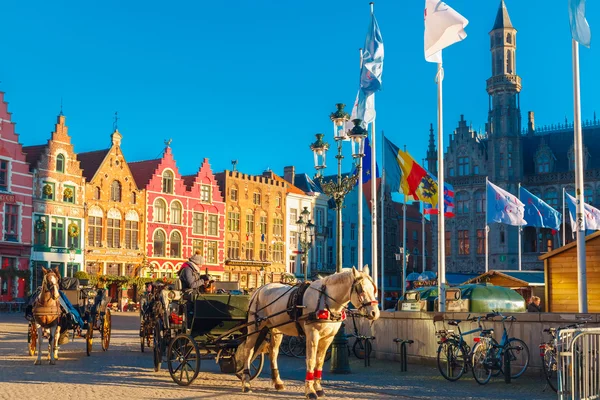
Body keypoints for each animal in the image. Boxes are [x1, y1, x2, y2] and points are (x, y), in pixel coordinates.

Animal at [239, 268, 380, 398]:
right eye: (361, 289)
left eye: (374, 289)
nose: (375, 313)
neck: (326, 301)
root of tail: (260, 289)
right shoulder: (312, 335)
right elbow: (311, 361)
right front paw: (310, 391)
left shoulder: (328, 338)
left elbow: (320, 362)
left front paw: (318, 388)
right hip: (254, 328)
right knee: (248, 350)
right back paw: (246, 383)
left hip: (276, 330)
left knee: (273, 353)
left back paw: (277, 382)